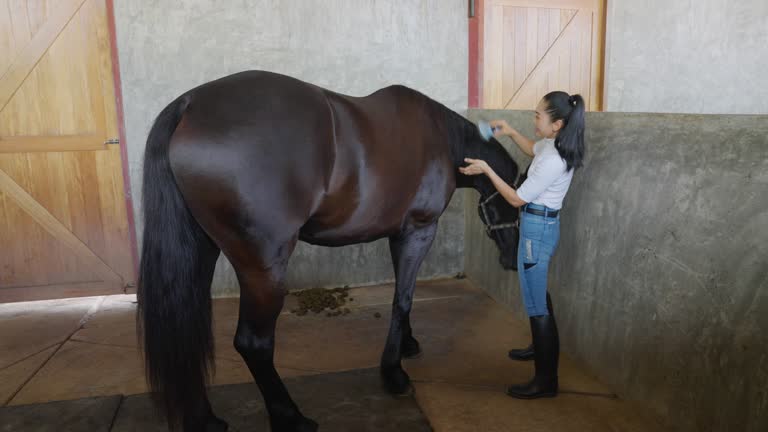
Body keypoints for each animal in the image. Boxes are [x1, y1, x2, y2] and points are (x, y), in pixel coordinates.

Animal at [140, 69, 520, 430]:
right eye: (513, 200)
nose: (513, 259)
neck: (441, 139)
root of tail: (190, 104)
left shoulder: (398, 235)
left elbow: (403, 293)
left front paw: (408, 344)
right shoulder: (419, 230)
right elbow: (403, 299)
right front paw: (393, 373)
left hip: (203, 252)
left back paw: (206, 420)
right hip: (263, 270)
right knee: (253, 343)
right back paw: (290, 416)